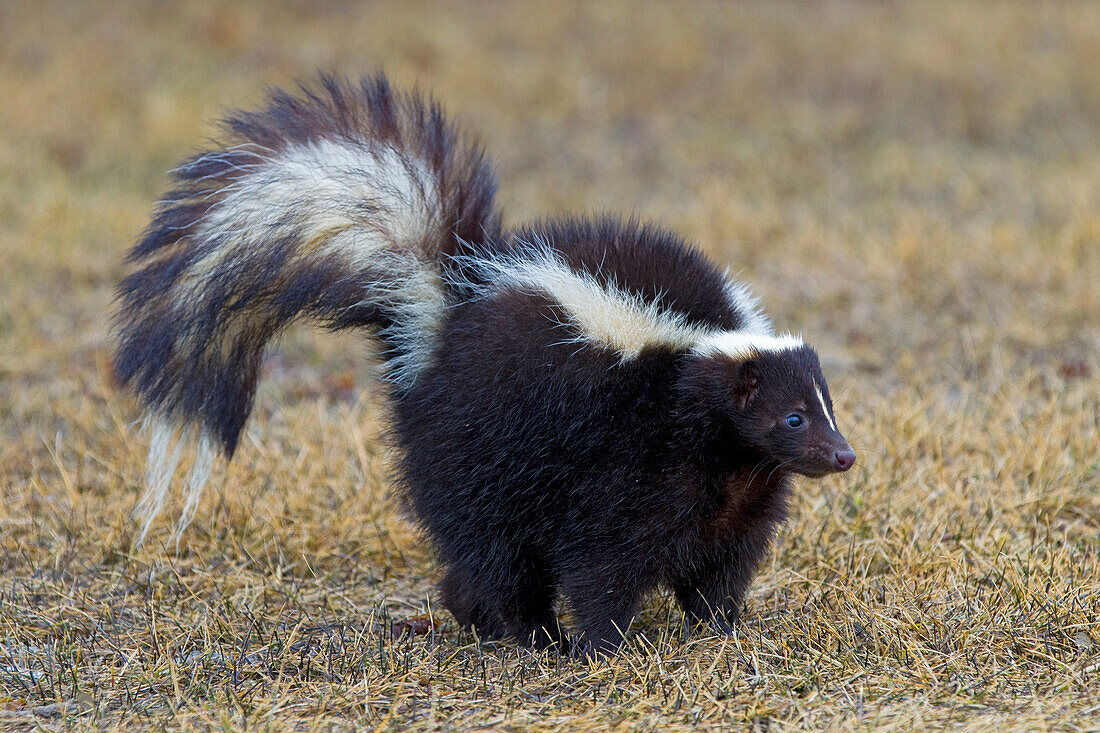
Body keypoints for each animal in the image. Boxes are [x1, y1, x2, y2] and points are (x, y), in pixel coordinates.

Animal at [116, 74, 858, 651]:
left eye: (827, 408)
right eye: (793, 417)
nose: (843, 454)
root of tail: (440, 314)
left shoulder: (740, 492)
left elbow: (721, 563)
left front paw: (720, 627)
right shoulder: (628, 460)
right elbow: (605, 560)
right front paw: (606, 644)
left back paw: (482, 621)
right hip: (483, 448)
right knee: (493, 549)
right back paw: (528, 632)